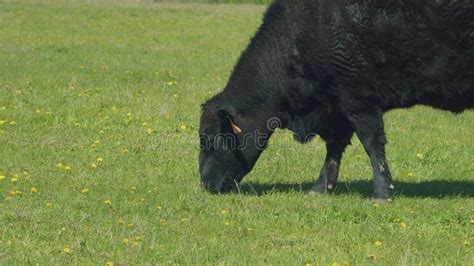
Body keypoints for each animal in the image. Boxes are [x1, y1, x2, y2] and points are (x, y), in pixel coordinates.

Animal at [197, 0, 474, 198]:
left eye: (210, 140)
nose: (204, 184)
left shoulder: (359, 98)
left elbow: (372, 144)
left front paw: (383, 192)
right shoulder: (335, 108)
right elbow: (334, 147)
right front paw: (321, 187)